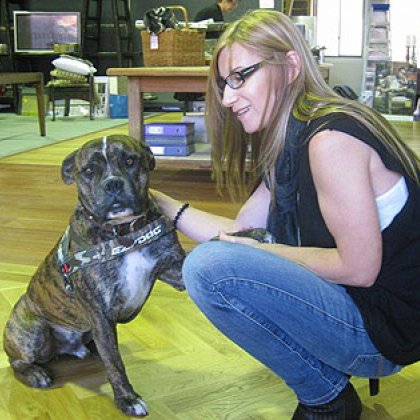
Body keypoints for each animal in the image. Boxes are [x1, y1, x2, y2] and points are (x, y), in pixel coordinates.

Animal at [2, 135, 185, 416]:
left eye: (130, 161)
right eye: (89, 171)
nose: (113, 183)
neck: (123, 232)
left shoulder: (175, 269)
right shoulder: (99, 312)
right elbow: (115, 364)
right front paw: (127, 399)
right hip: (34, 330)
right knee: (16, 362)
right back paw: (35, 374)